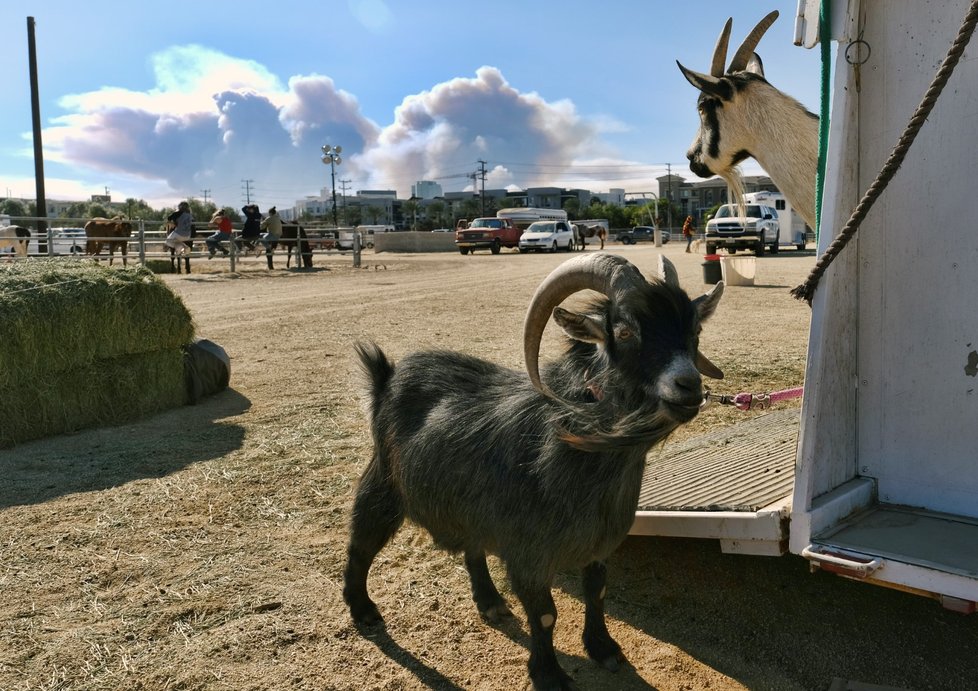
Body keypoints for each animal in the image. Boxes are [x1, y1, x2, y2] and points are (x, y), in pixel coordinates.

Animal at [342, 254, 716, 691]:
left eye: (695, 329)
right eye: (624, 331)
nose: (689, 386)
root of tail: (387, 377)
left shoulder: (597, 543)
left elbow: (597, 593)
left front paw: (604, 649)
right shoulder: (528, 554)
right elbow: (546, 614)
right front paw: (550, 674)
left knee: (472, 548)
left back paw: (490, 603)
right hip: (383, 483)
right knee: (362, 543)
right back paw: (363, 611)